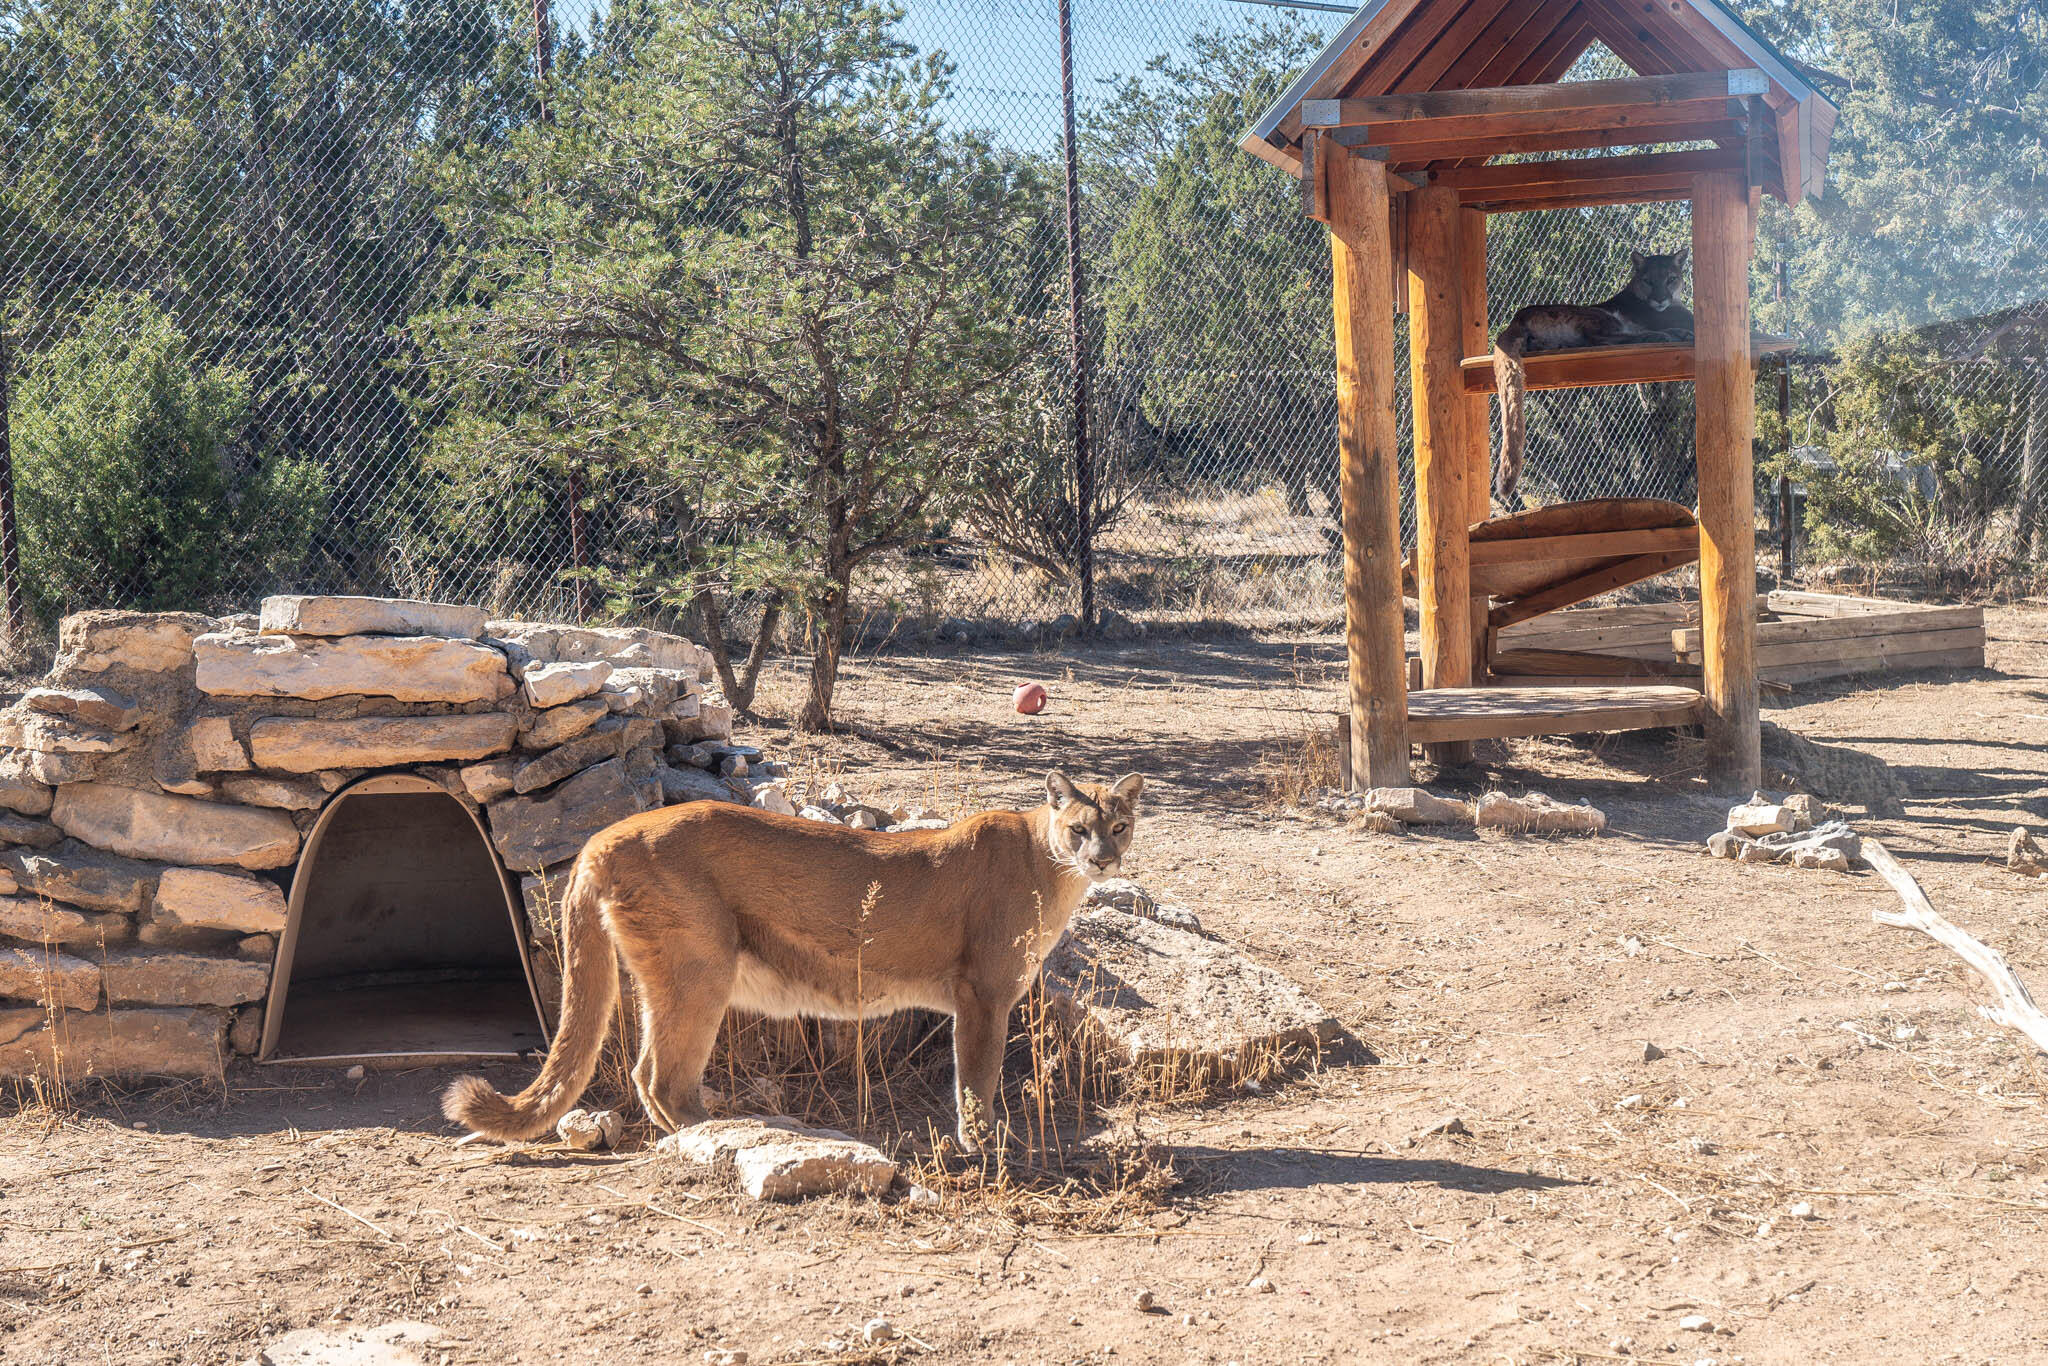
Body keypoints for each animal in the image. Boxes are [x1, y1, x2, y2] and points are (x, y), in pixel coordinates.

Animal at [446, 774, 1146, 1146]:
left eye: (1120, 825)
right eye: (1080, 828)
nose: (1104, 858)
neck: (1049, 863)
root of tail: (601, 836)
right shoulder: (984, 995)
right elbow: (977, 1076)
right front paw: (984, 1140)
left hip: (664, 977)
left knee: (647, 1071)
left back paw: (703, 1131)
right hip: (701, 969)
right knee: (662, 1074)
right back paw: (720, 1133)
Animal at [1490, 248, 1695, 505]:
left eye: (1670, 279)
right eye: (1648, 281)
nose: (1660, 299)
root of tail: (1517, 316)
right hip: (1600, 316)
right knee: (1603, 339)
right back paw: (1666, 335)